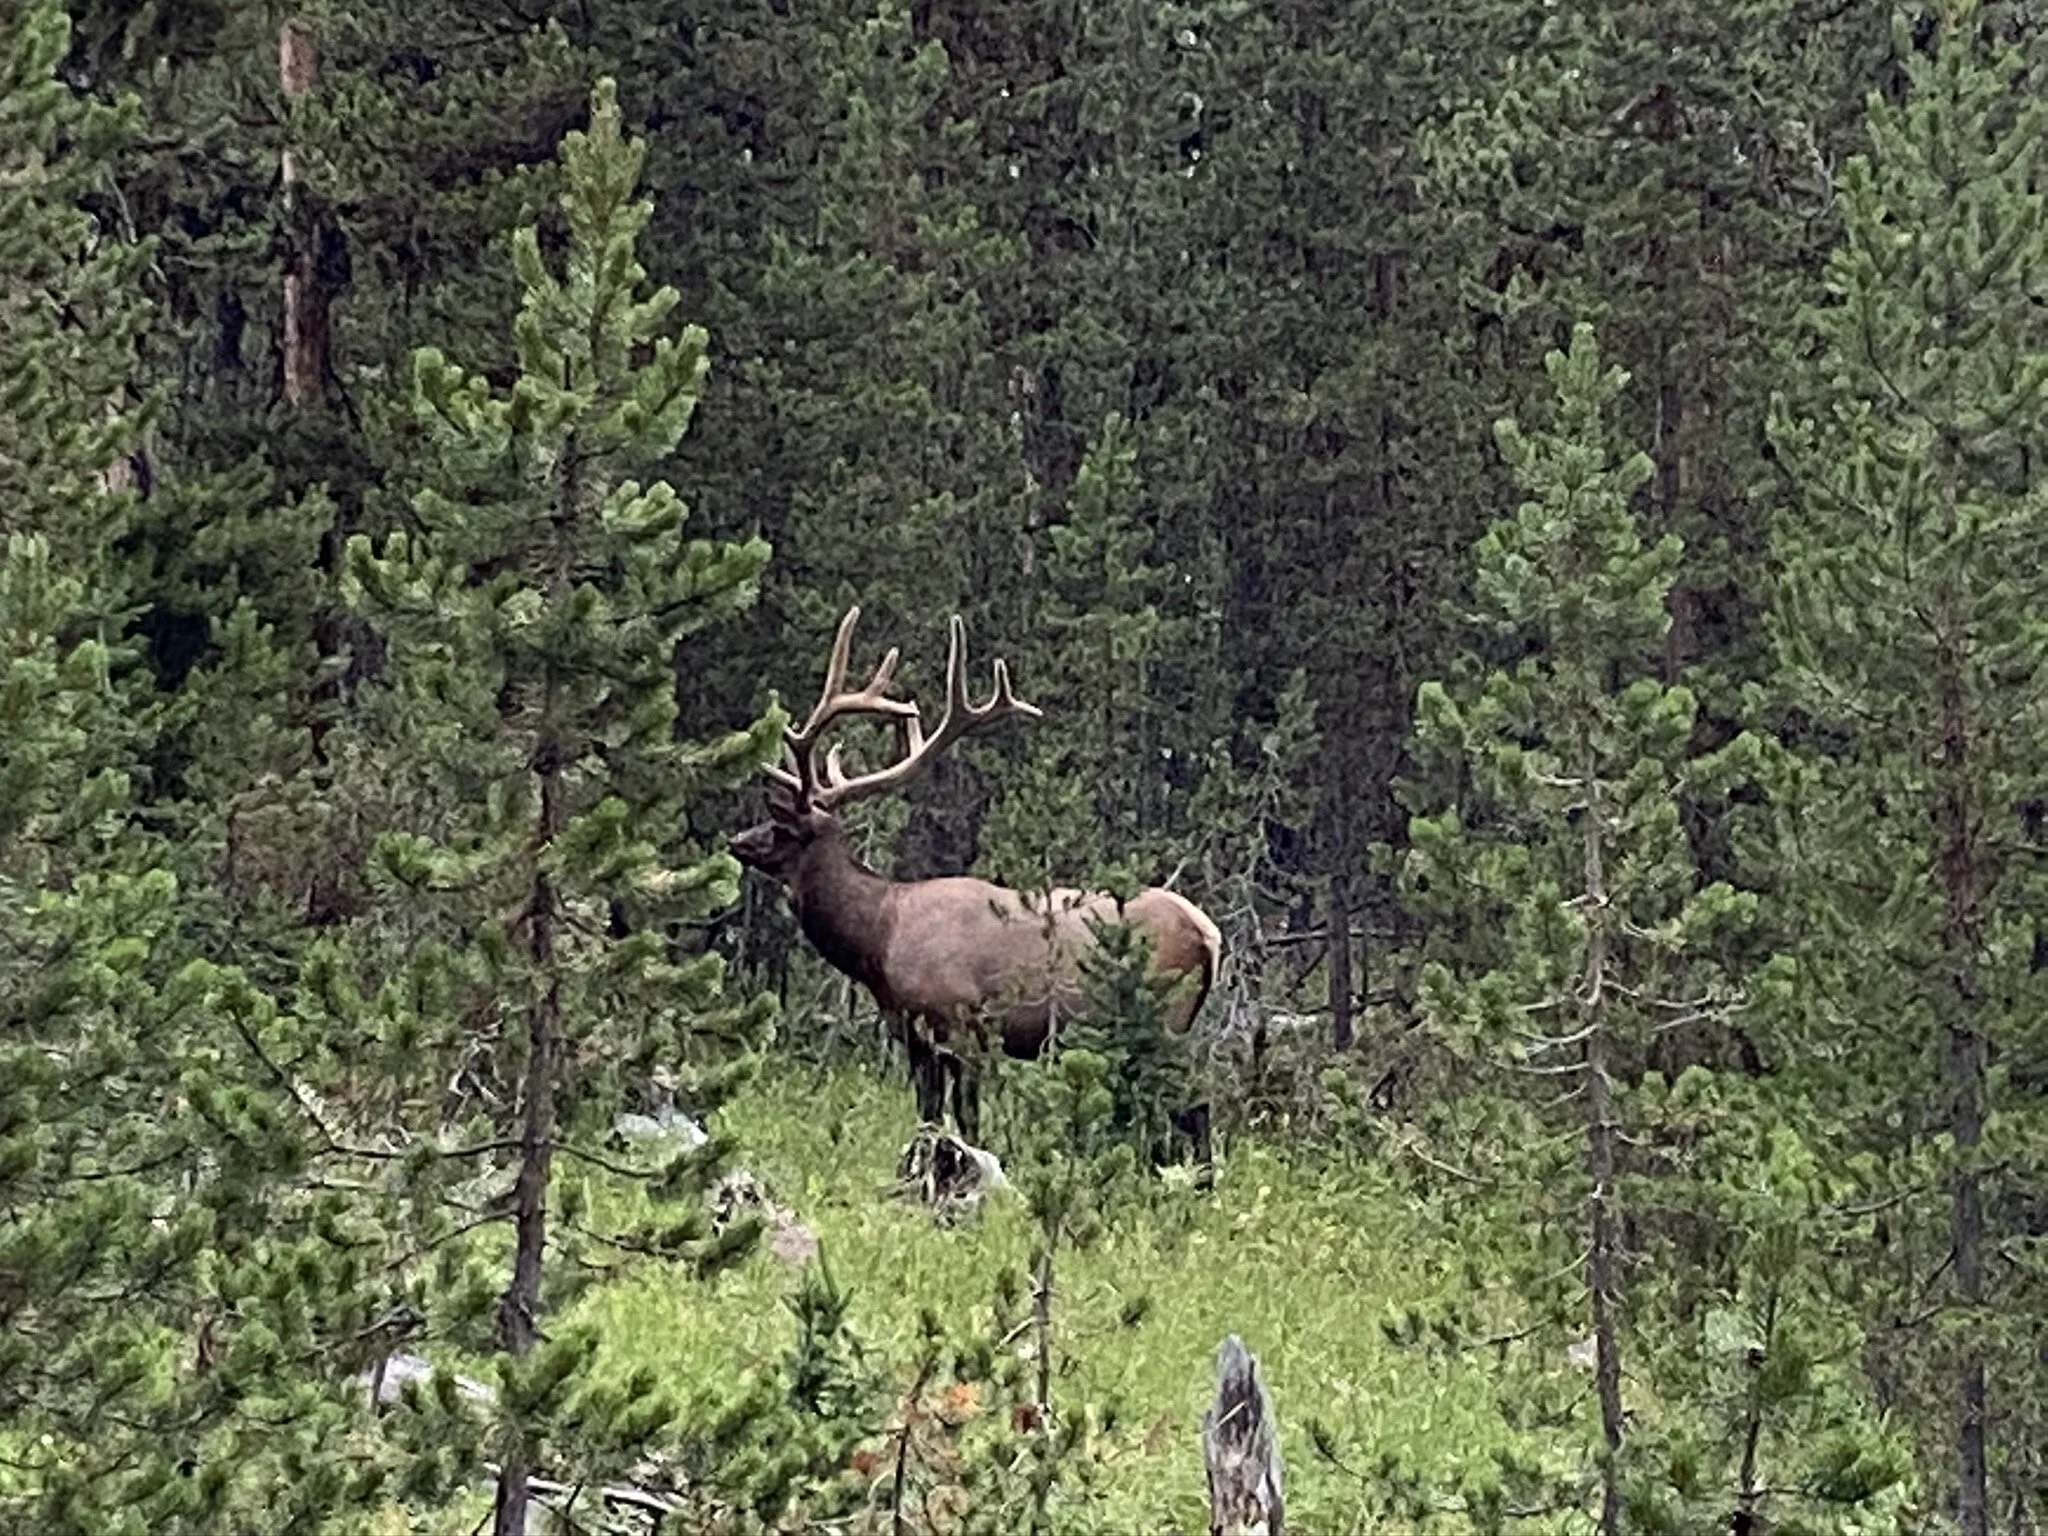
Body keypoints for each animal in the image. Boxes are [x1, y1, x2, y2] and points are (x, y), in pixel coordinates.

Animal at [728, 606, 1220, 1162]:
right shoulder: (915, 1035)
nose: (737, 839)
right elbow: (927, 1114)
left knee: (1196, 1105)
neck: (879, 940)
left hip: (1165, 1015)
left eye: (782, 827)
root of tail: (1208, 934)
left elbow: (966, 1118)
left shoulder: (961, 1023)